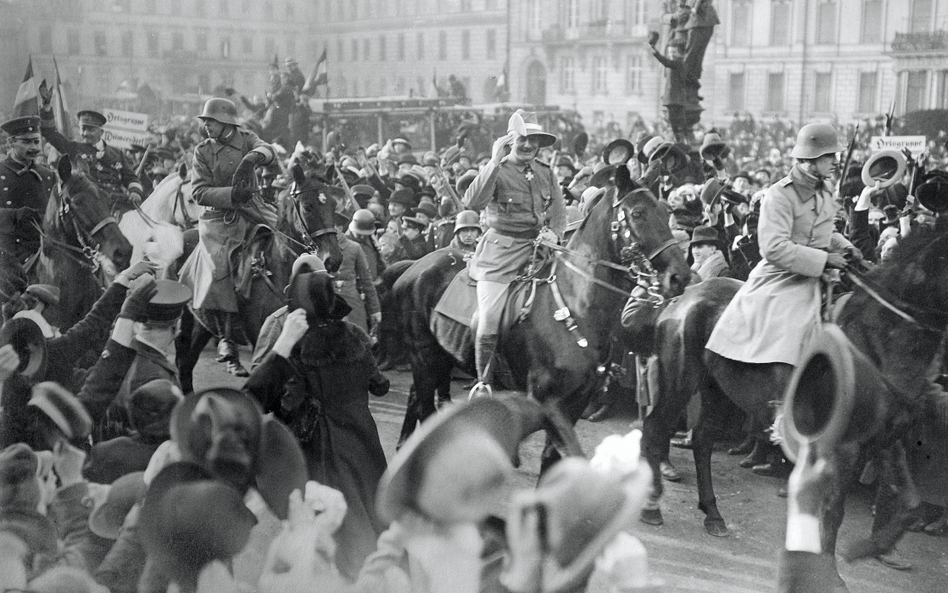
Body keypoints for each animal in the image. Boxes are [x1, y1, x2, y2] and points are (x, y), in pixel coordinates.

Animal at [392, 165, 688, 468]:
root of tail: (416, 266)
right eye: (638, 213)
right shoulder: (547, 403)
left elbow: (552, 460)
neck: (577, 306)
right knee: (424, 405)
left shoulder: (576, 402)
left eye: (665, 212)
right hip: (424, 358)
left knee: (415, 398)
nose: (680, 276)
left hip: (437, 359)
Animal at [636, 225, 948, 588]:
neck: (876, 344)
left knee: (701, 441)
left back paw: (713, 515)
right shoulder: (845, 446)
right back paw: (651, 507)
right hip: (680, 381)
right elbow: (834, 510)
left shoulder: (885, 439)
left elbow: (910, 504)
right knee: (655, 429)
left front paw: (869, 548)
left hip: (719, 392)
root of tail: (683, 296)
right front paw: (828, 573)